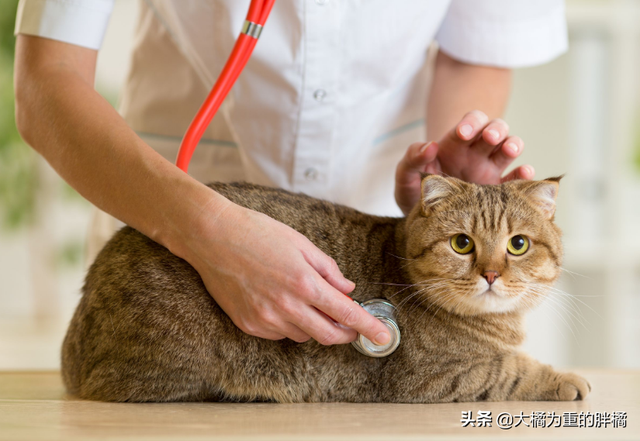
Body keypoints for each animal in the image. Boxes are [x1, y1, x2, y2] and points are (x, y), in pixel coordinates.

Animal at [60, 174, 592, 400]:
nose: (491, 273)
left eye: (518, 245)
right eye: (463, 244)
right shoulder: (434, 378)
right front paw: (567, 378)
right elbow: (513, 371)